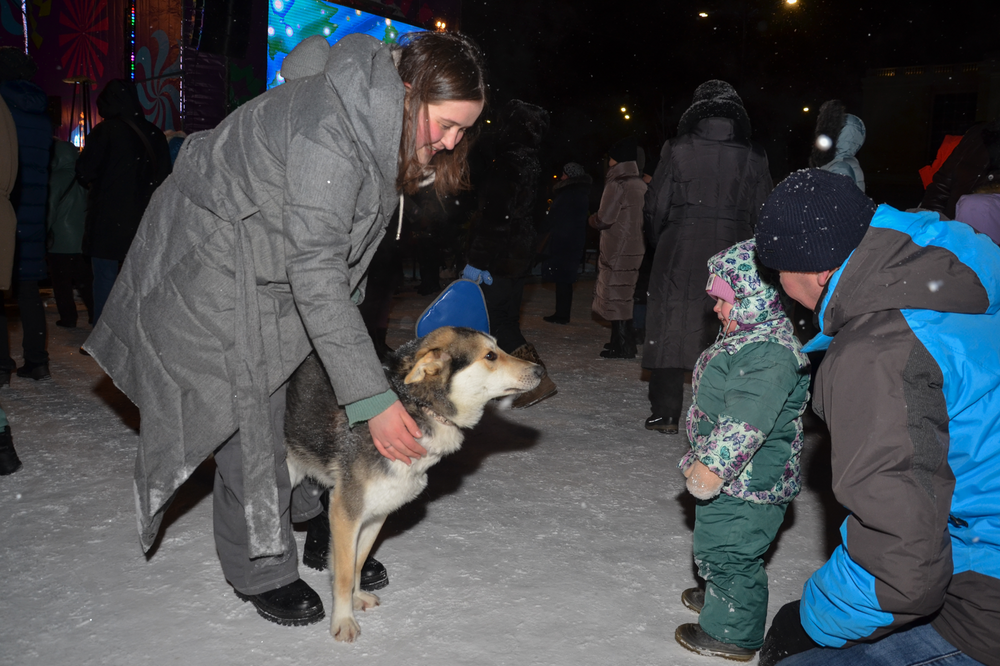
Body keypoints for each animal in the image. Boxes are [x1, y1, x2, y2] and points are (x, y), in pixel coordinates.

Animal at [282, 326, 548, 640]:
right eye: (490, 356)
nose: (541, 370)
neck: (416, 405)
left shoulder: (375, 513)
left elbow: (357, 563)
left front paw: (356, 599)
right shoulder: (346, 510)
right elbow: (345, 574)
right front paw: (343, 621)